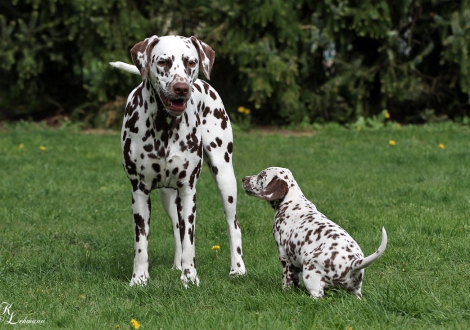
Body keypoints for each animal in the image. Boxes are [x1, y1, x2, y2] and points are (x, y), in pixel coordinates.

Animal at [111, 35, 246, 286]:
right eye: (163, 62)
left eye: (191, 62)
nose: (181, 87)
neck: (164, 126)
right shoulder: (140, 193)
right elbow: (141, 245)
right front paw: (139, 279)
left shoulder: (188, 191)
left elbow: (189, 241)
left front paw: (190, 277)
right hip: (167, 197)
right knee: (176, 228)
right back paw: (176, 265)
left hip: (225, 178)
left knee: (233, 225)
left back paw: (238, 268)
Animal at [242, 168, 386, 300]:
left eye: (261, 175)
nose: (243, 178)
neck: (291, 201)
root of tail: (354, 263)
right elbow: (294, 279)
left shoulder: (283, 254)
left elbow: (286, 279)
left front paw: (286, 292)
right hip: (356, 291)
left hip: (310, 271)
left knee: (317, 297)